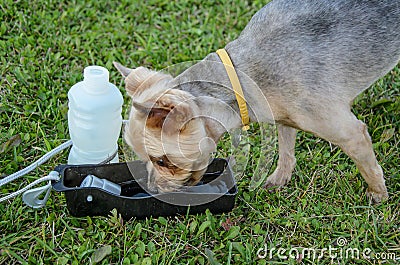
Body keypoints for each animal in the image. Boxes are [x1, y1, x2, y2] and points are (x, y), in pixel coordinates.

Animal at [114, 0, 398, 202]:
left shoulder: (351, 134)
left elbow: (369, 167)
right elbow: (286, 151)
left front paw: (379, 194)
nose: (152, 189)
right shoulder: (283, 118)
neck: (242, 77)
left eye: (162, 161)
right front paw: (280, 179)